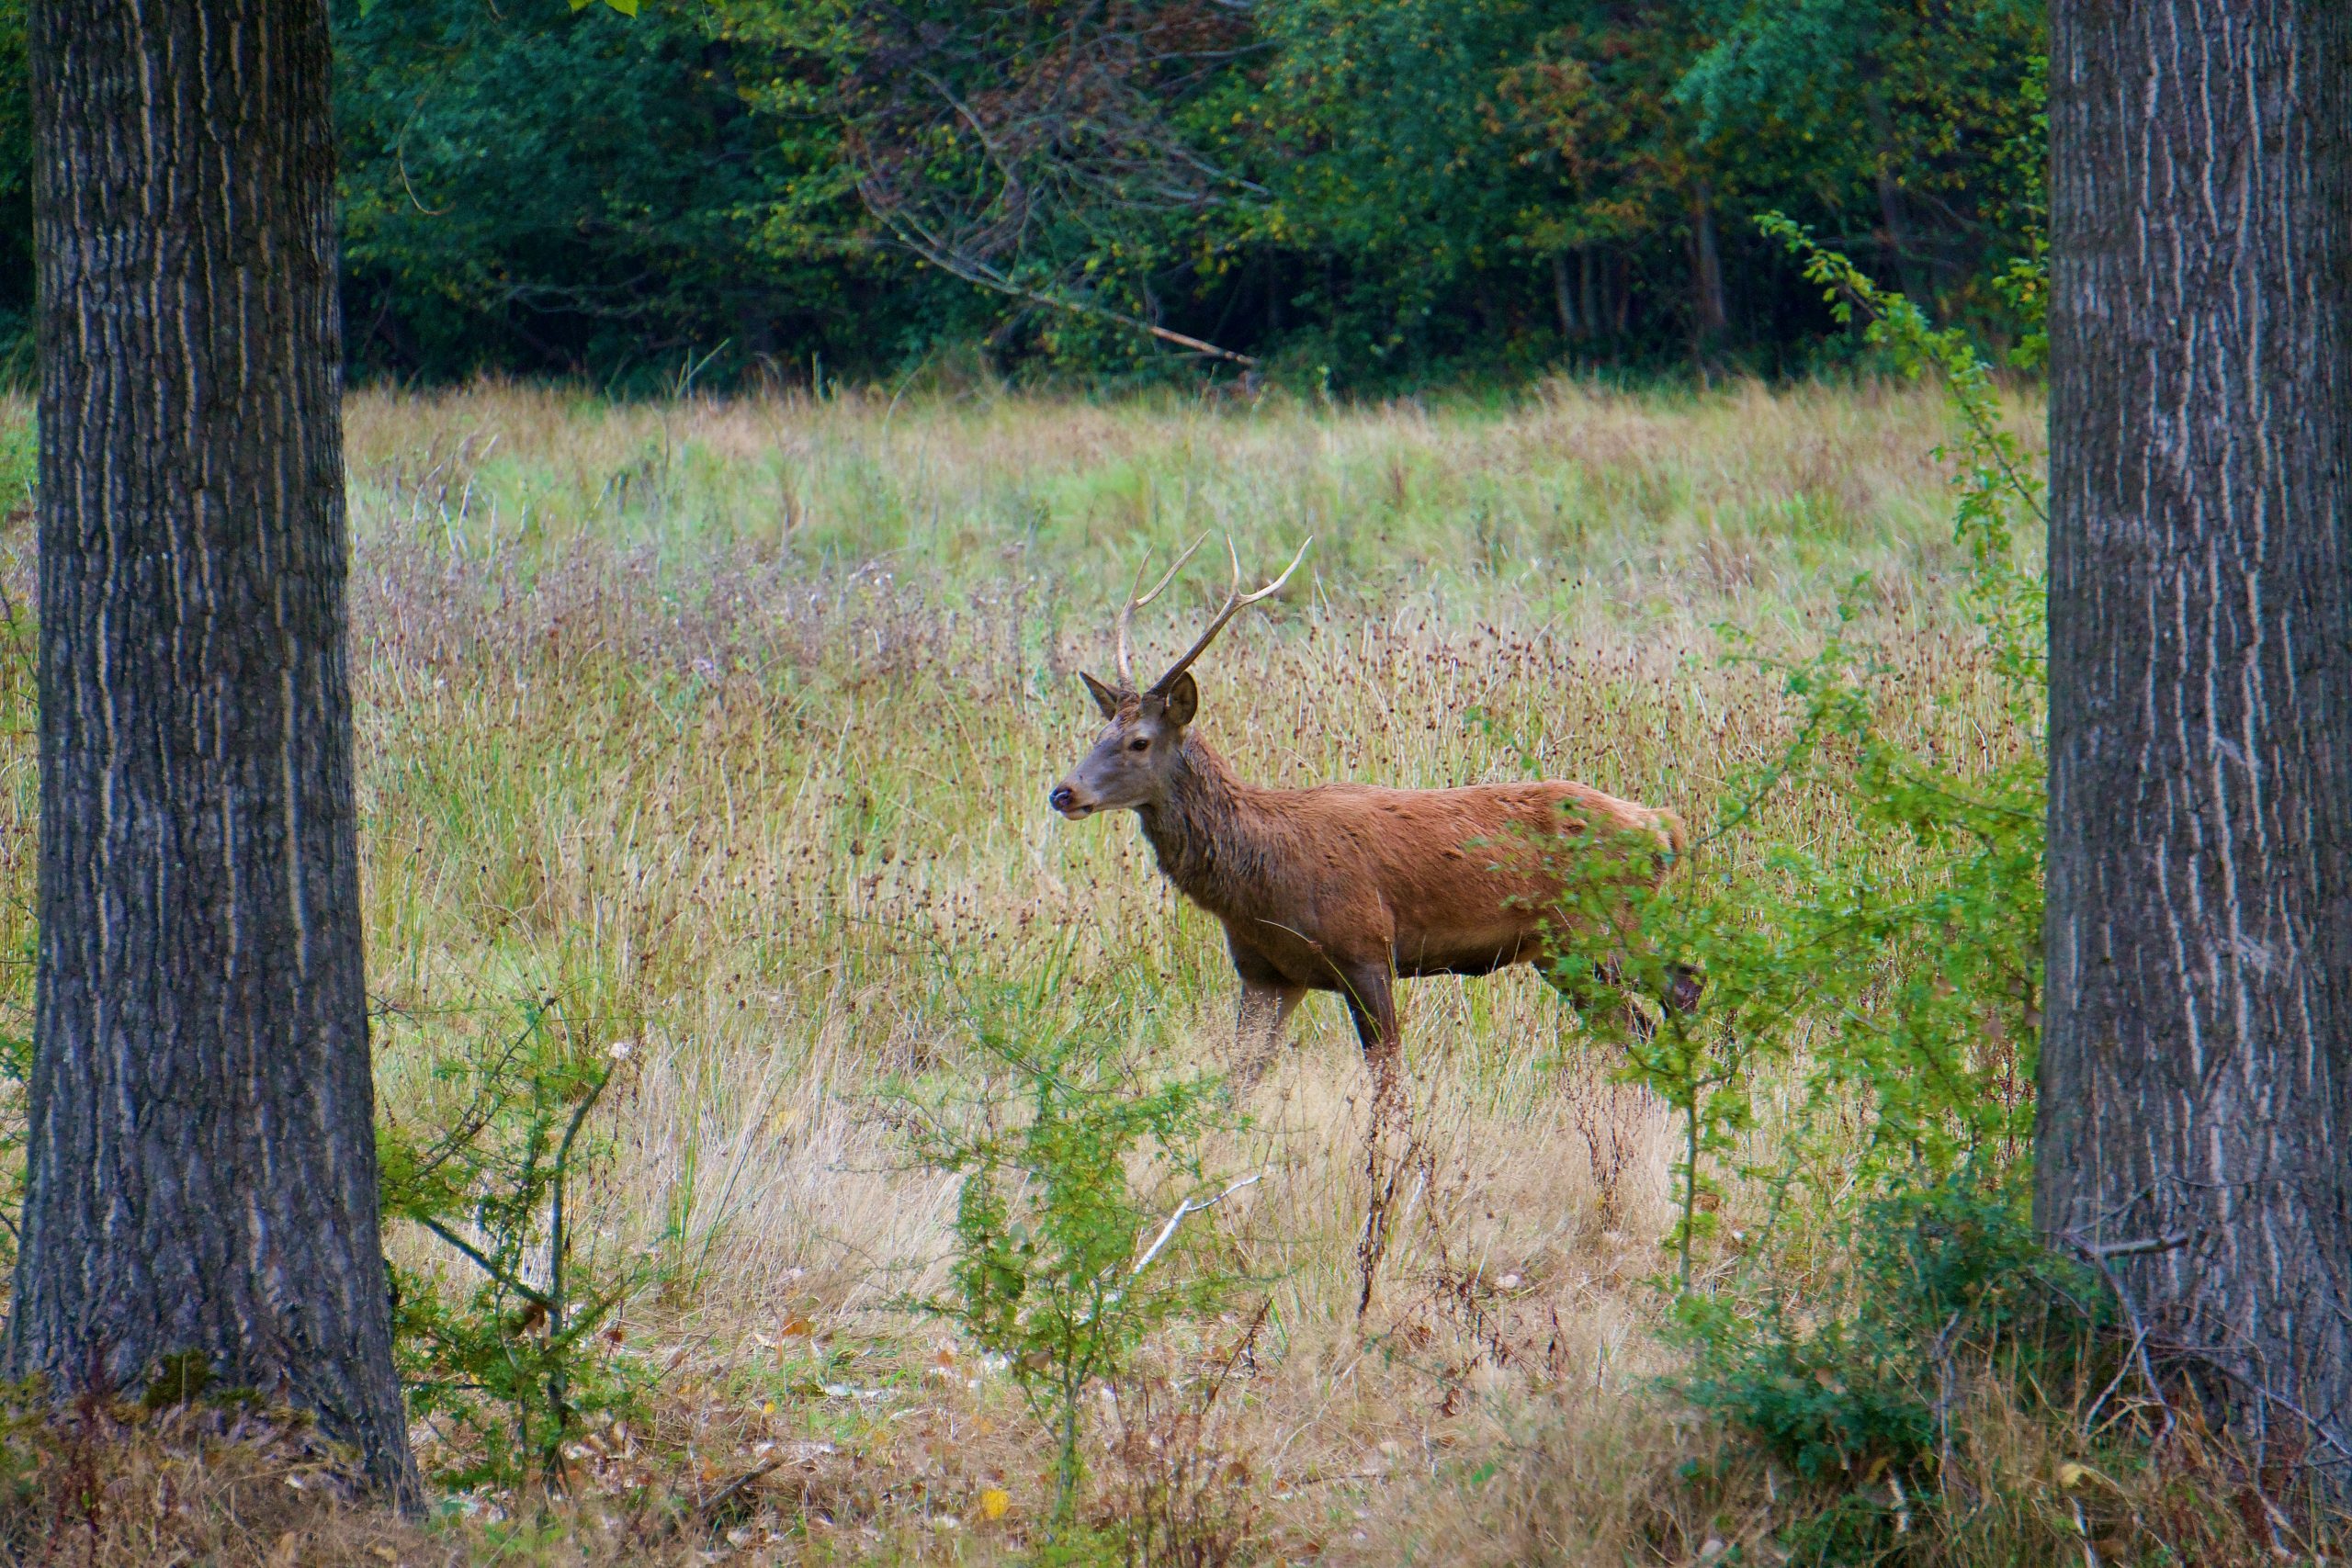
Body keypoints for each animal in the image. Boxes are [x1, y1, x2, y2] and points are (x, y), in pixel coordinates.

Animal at [1048, 536, 1693, 1081]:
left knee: (1682, 987)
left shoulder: (1366, 951)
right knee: (1639, 1025)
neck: (1259, 883)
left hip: (1604, 927)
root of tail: (1664, 829)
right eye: (1100, 731)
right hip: (1562, 954)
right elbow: (1239, 1080)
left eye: (1139, 742)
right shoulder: (1265, 974)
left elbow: (1389, 1080)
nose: (1063, 792)